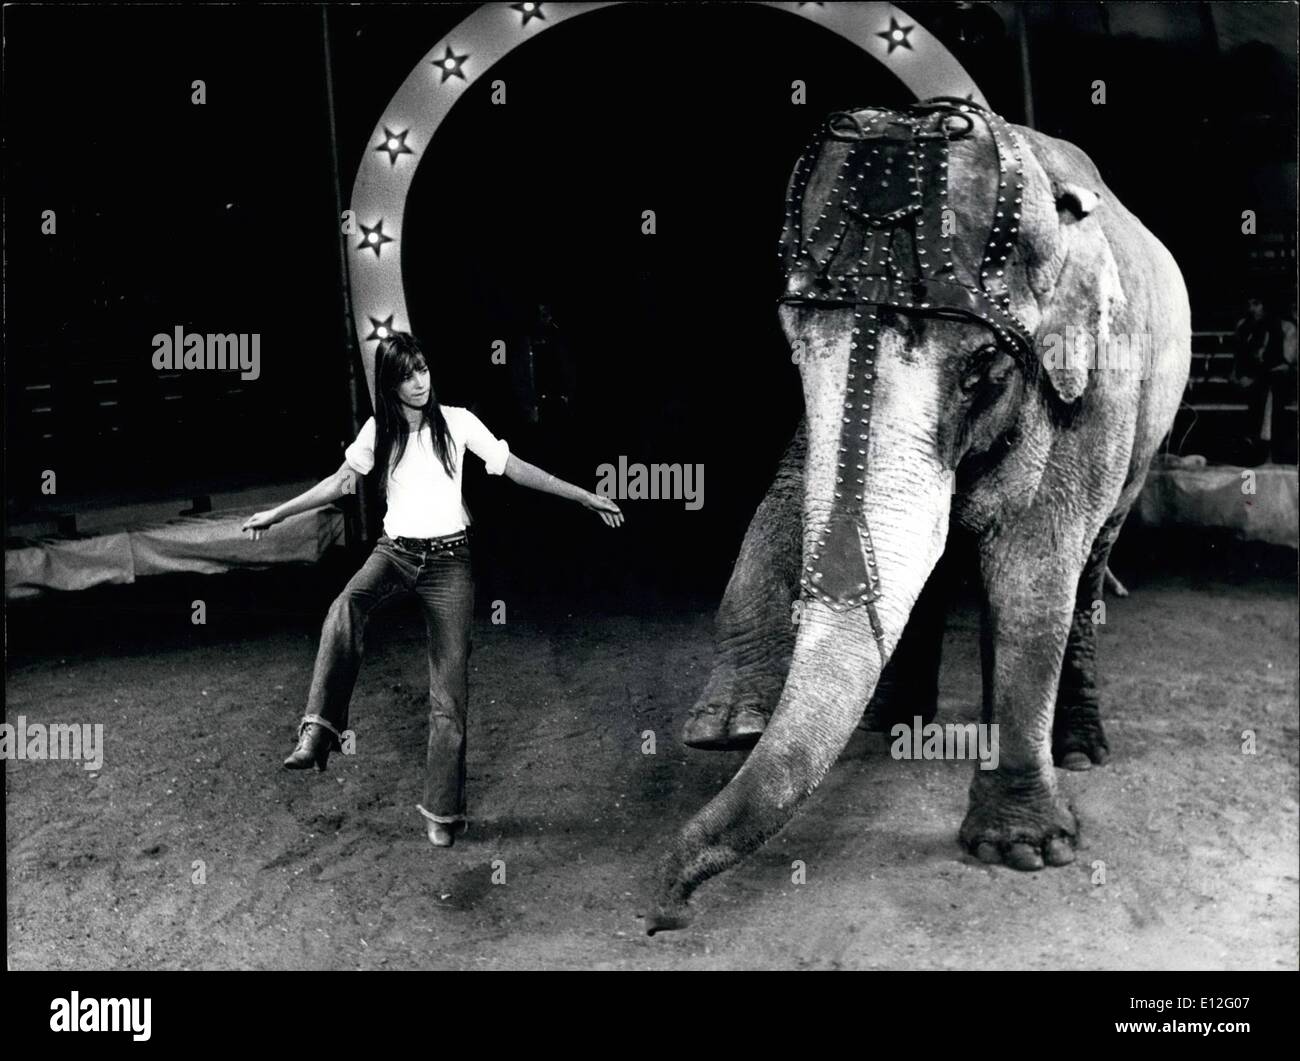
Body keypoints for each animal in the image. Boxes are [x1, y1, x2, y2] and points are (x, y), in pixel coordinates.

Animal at [646, 99, 1190, 932]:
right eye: (793, 354)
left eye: (982, 370)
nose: (664, 909)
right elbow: (789, 490)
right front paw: (725, 728)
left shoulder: (1095, 387)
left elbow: (1036, 563)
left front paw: (1023, 850)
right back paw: (892, 725)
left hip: (1148, 439)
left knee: (1092, 565)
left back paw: (1078, 748)